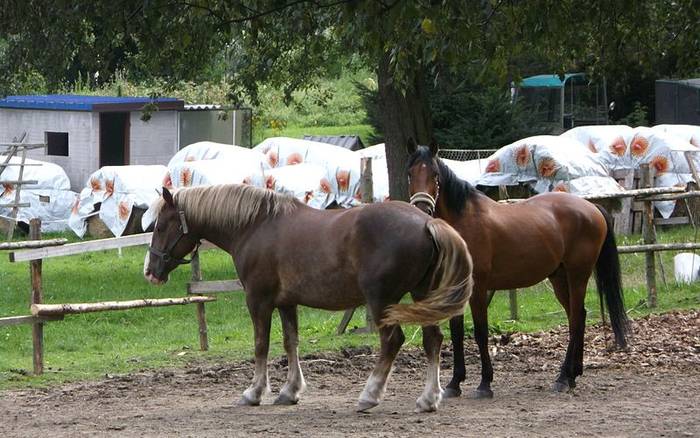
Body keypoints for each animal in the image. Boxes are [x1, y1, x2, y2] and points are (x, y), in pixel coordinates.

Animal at [143, 183, 474, 412]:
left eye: (160, 225)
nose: (150, 271)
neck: (256, 226)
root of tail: (426, 222)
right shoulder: (287, 303)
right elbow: (291, 342)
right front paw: (290, 391)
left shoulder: (258, 300)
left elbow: (261, 345)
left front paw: (254, 392)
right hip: (422, 296)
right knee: (433, 340)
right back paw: (428, 399)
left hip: (381, 299)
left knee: (392, 342)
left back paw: (369, 396)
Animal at [404, 141, 628, 400]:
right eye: (410, 173)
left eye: (435, 175)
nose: (422, 208)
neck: (463, 222)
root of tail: (592, 207)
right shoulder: (456, 287)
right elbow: (457, 331)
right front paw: (454, 383)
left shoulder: (479, 288)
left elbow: (480, 332)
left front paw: (485, 384)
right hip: (559, 278)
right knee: (578, 315)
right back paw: (573, 374)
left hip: (577, 275)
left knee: (574, 320)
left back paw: (563, 378)